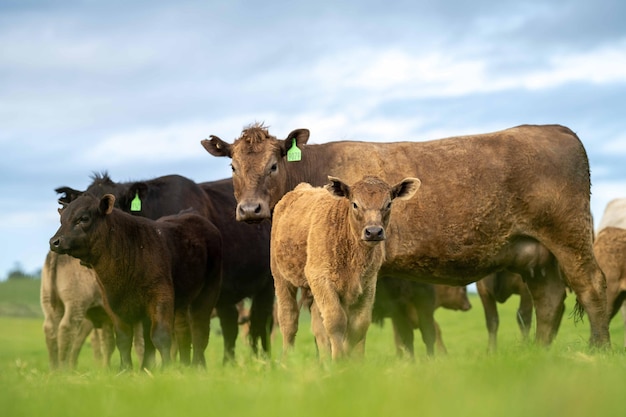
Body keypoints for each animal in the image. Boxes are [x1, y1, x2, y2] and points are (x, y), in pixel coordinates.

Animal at [50, 193, 222, 368]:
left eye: (84, 218)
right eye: (62, 220)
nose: (54, 242)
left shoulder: (161, 296)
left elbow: (161, 336)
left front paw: (167, 368)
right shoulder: (112, 304)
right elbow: (124, 339)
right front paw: (126, 368)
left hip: (207, 292)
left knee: (199, 330)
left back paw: (197, 366)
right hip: (181, 302)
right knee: (182, 331)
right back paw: (180, 365)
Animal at [270, 174, 420, 360]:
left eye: (388, 204)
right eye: (354, 204)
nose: (373, 231)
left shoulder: (367, 284)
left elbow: (358, 324)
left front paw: (348, 359)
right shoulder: (321, 279)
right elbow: (336, 320)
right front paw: (339, 359)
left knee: (317, 324)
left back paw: (324, 360)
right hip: (281, 279)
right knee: (288, 320)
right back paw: (287, 359)